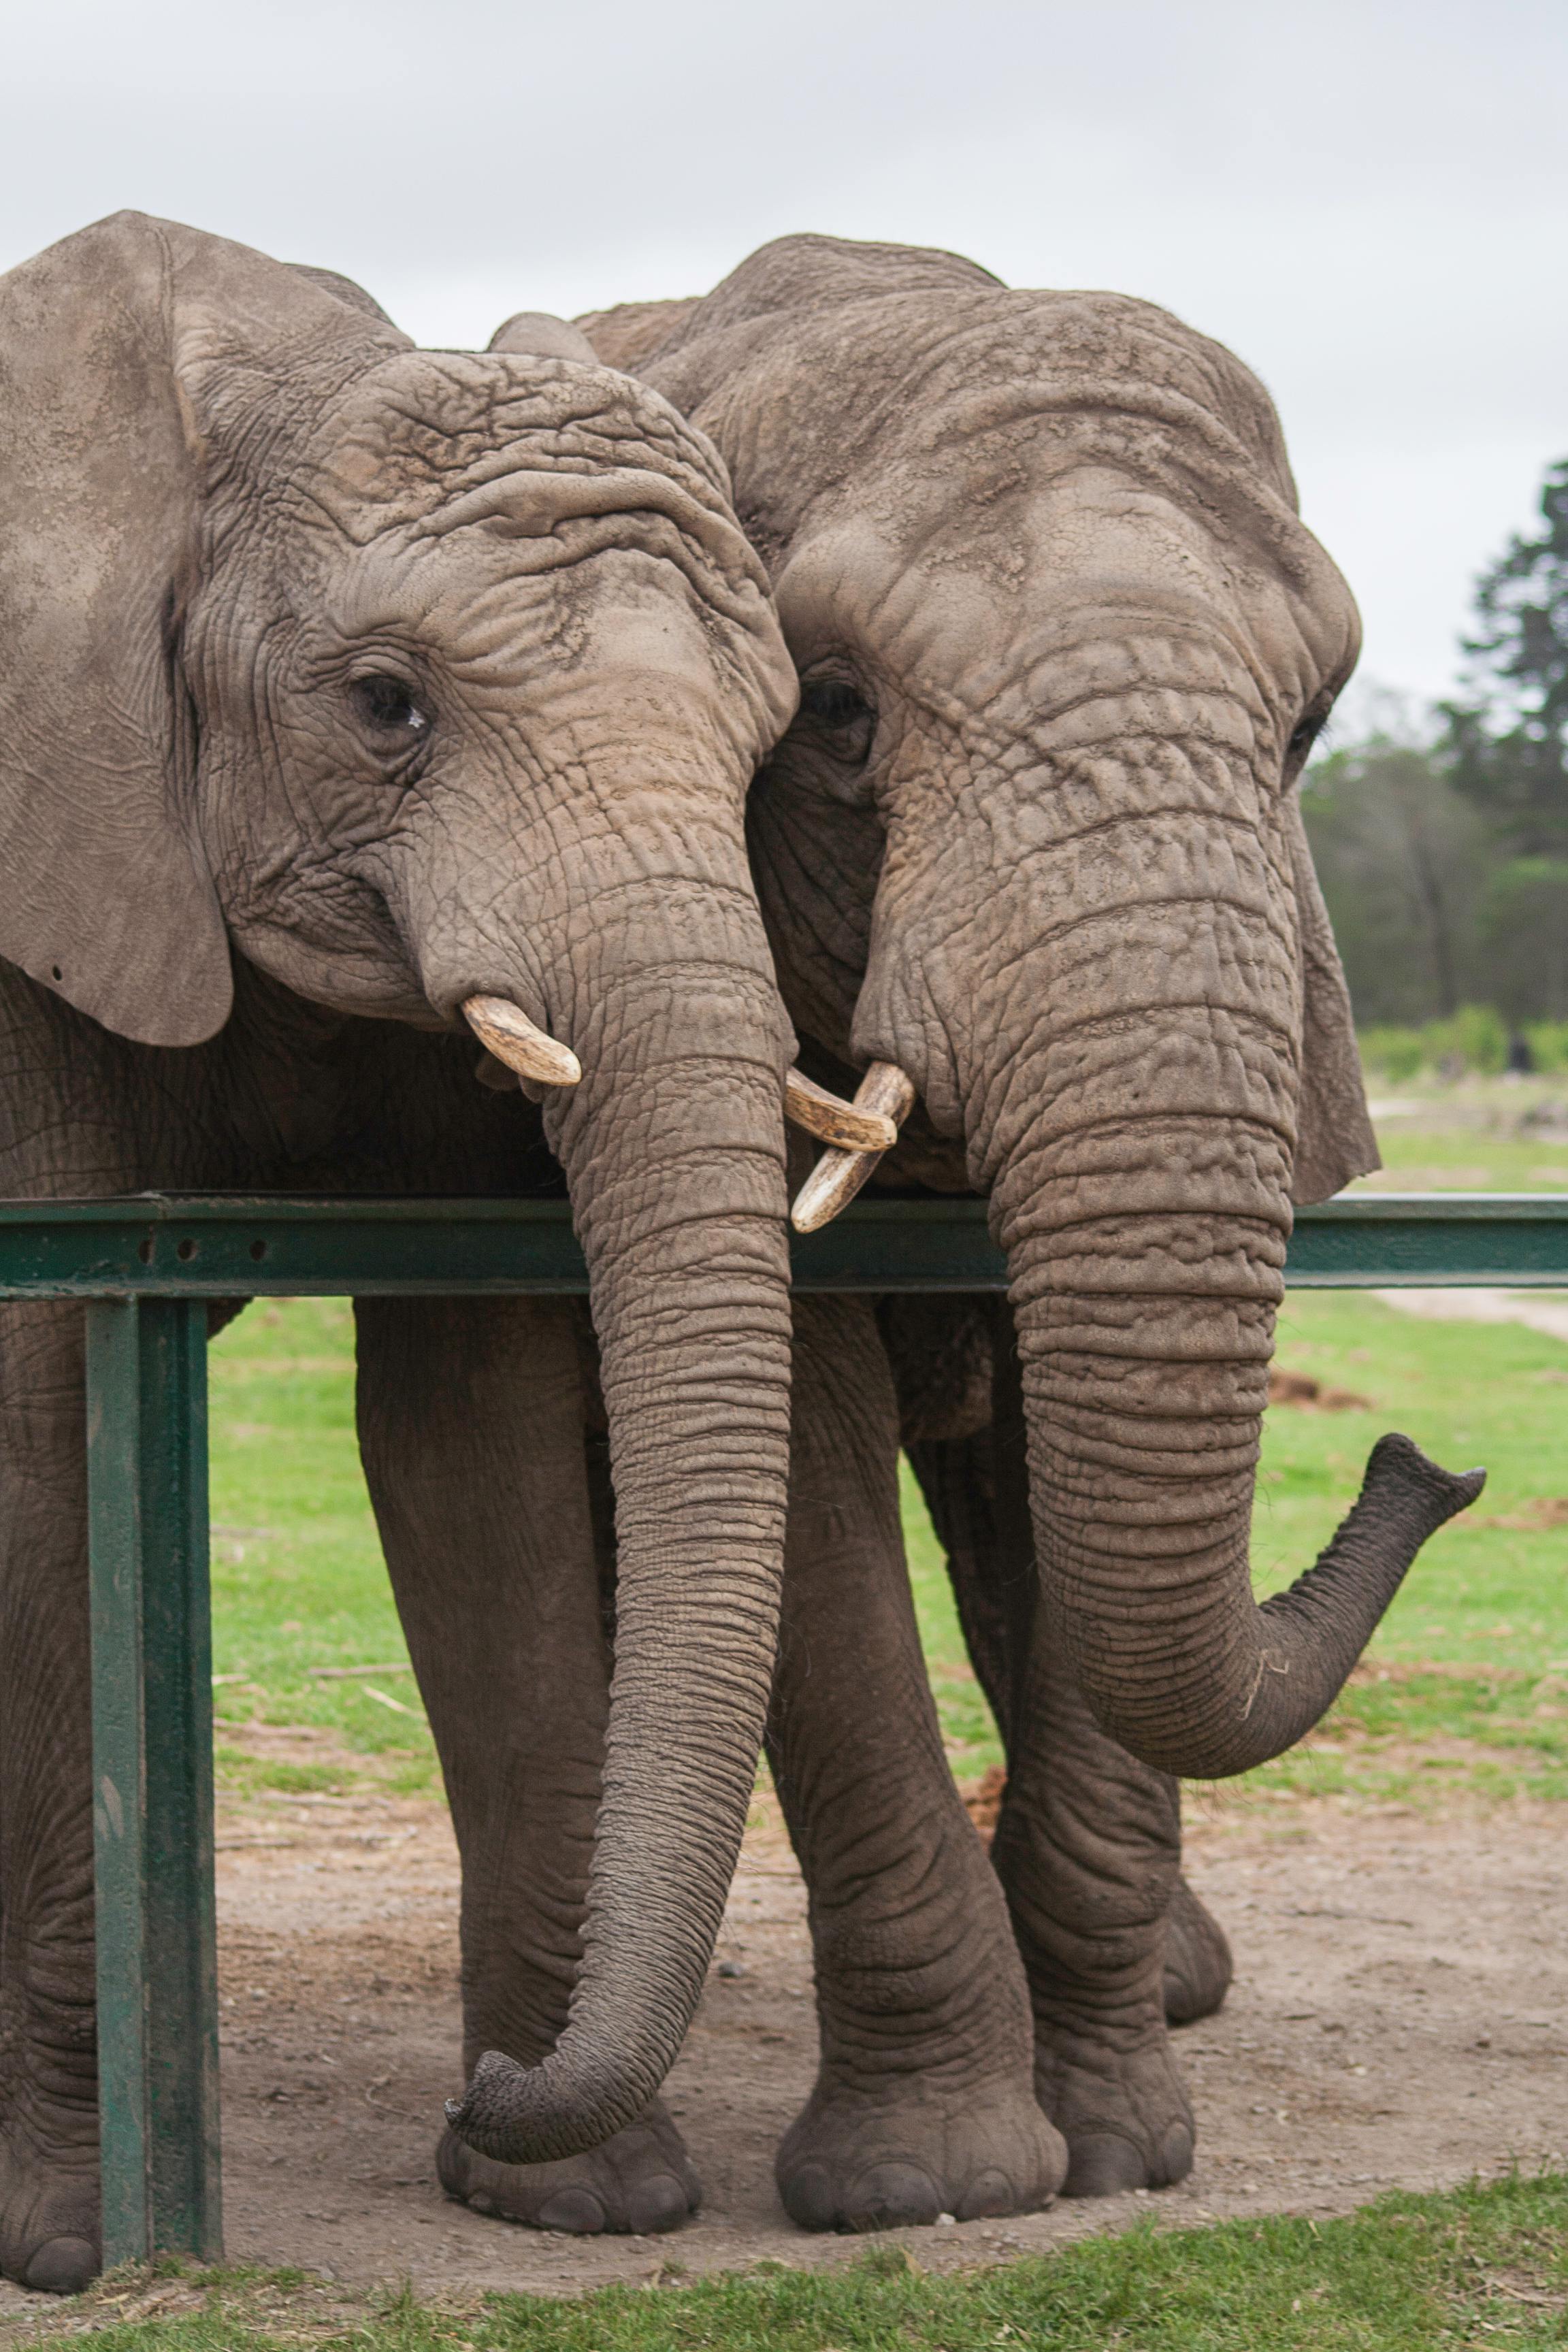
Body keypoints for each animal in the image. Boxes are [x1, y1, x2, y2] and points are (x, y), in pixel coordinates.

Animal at [0, 212, 930, 2286]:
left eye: (781, 730)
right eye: (386, 703)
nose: (492, 2084)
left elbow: (466, 1420)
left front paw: (566, 2191)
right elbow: (34, 1422)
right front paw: (63, 2237)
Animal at [439, 229, 1486, 2230]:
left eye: (1310, 727)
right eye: (835, 711)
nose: (1434, 1463)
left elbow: (1060, 1510)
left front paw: (1128, 2152)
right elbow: (816, 1491)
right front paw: (936, 2186)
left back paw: (1181, 1982)